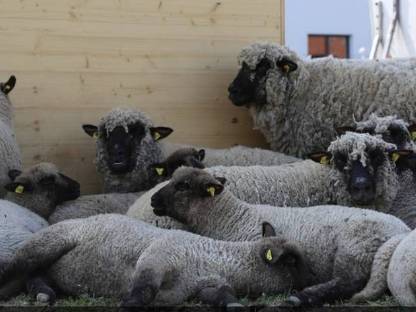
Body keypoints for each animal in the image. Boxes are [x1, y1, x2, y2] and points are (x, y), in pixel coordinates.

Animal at [0, 214, 308, 308]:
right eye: (292, 261)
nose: (308, 283)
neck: (217, 258)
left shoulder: (200, 287)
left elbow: (221, 294)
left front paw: (233, 305)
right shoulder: (157, 257)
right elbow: (144, 289)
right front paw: (129, 304)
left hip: (49, 264)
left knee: (35, 276)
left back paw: (44, 293)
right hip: (49, 243)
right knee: (16, 266)